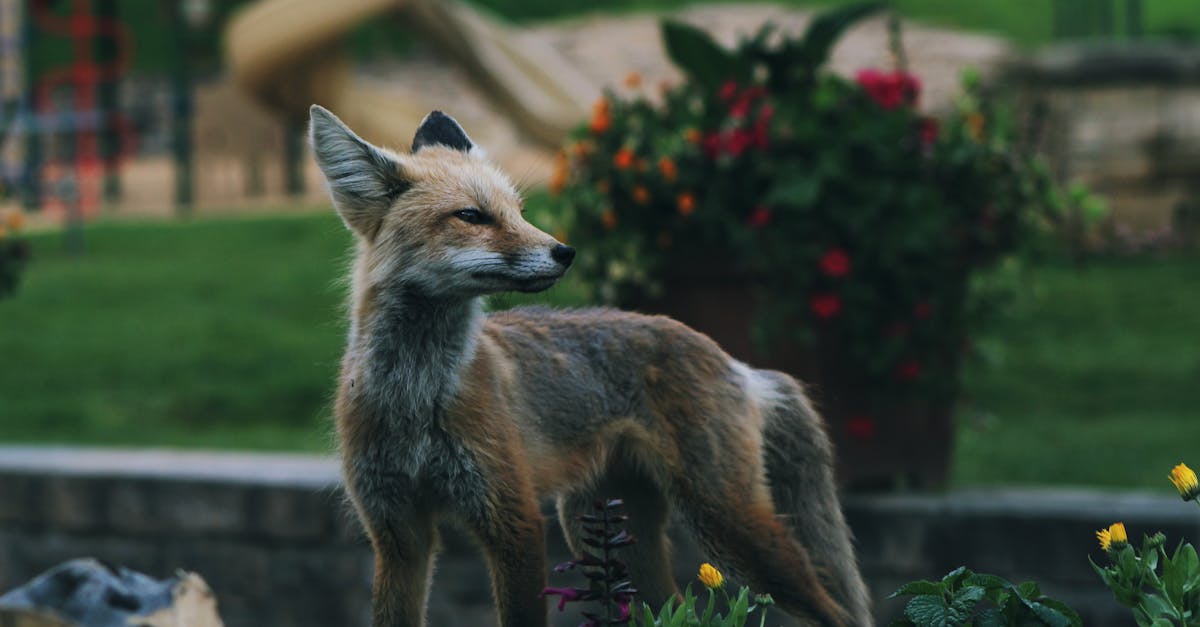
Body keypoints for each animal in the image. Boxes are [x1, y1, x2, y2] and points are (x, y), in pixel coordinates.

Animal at [308, 104, 871, 627]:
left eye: (519, 211)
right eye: (471, 216)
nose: (565, 252)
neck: (416, 396)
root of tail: (732, 359)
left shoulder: (514, 520)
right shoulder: (396, 533)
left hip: (729, 524)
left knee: (833, 612)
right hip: (604, 531)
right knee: (678, 609)